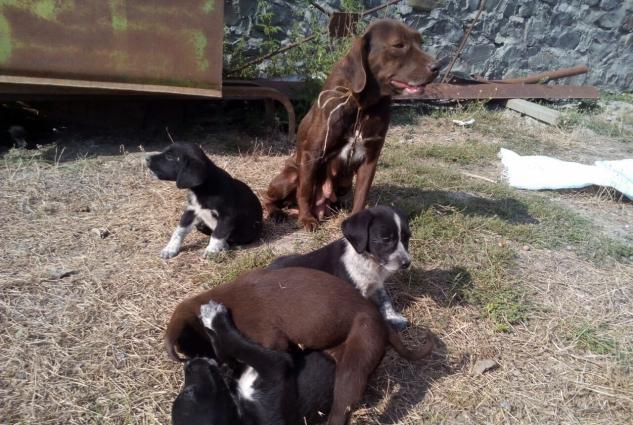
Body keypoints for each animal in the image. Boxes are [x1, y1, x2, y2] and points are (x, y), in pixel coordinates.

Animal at [172, 301, 335, 425]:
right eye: (188, 391)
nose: (189, 363)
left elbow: (225, 349)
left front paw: (210, 324)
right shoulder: (274, 368)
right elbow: (237, 345)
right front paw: (214, 317)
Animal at [263, 19, 438, 230]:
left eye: (421, 43)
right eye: (398, 45)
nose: (437, 67)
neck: (362, 105)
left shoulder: (370, 159)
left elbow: (361, 196)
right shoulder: (311, 154)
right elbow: (305, 191)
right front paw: (306, 219)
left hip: (343, 185)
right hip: (291, 175)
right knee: (269, 197)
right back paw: (277, 213)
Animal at [269, 206, 411, 330]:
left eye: (407, 238)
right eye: (385, 238)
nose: (407, 263)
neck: (368, 260)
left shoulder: (376, 284)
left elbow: (385, 300)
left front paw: (394, 318)